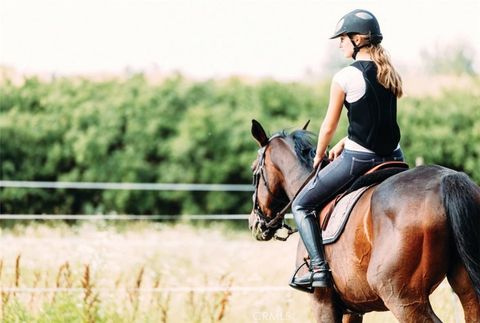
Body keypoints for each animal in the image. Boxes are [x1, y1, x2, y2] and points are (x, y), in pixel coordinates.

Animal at [249, 120, 478, 322]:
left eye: (254, 171)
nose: (253, 223)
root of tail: (446, 178)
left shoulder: (323, 304)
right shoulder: (353, 309)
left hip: (403, 298)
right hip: (467, 288)